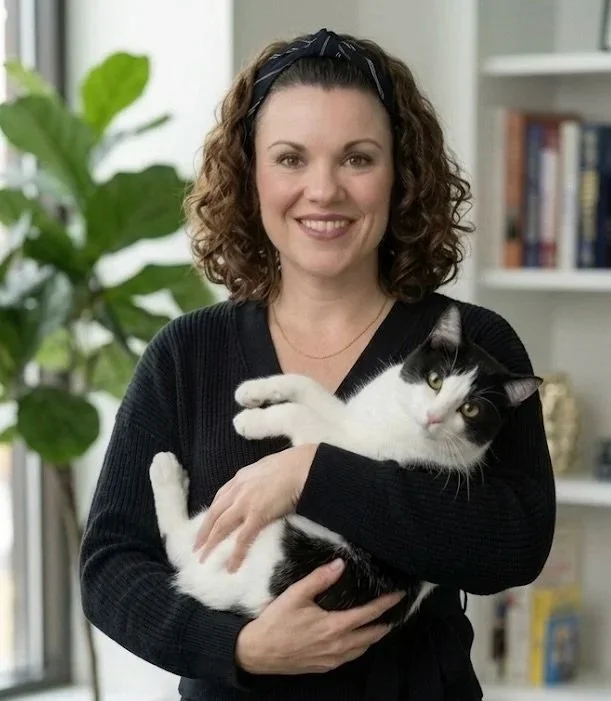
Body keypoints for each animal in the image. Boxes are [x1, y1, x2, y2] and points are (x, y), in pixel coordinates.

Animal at [149, 303, 542, 626]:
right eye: (435, 380)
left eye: (470, 409)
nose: (433, 417)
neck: (397, 417)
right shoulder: (350, 415)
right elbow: (308, 387)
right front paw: (254, 392)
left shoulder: (342, 446)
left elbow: (301, 416)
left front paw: (250, 421)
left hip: (254, 537)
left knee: (180, 543)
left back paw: (165, 471)